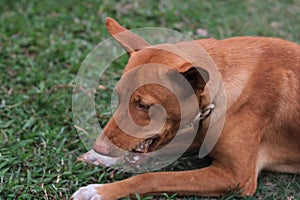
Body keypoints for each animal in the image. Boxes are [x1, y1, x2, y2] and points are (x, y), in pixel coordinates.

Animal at [71, 18, 300, 199]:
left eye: (144, 105)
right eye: (117, 98)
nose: (100, 147)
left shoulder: (236, 176)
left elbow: (151, 178)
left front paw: (100, 191)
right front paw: (101, 158)